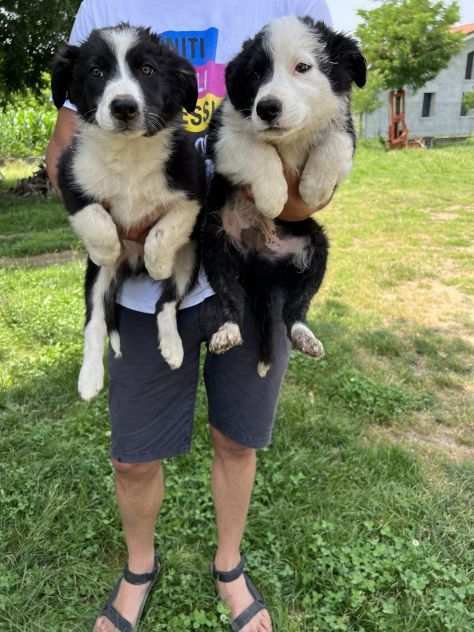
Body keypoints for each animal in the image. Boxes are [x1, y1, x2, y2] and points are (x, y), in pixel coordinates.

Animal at [53, 25, 206, 400]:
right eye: (96, 72)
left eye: (147, 70)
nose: (124, 107)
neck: (129, 151)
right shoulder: (70, 179)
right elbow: (97, 219)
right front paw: (108, 247)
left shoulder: (192, 189)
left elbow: (164, 230)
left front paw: (157, 262)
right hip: (96, 279)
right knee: (94, 322)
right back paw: (89, 378)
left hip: (190, 259)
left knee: (166, 304)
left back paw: (173, 346)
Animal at [203, 17, 366, 378]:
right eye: (255, 74)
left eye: (302, 68)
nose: (266, 108)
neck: (290, 137)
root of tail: (261, 266)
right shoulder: (222, 135)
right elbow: (256, 149)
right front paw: (273, 197)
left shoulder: (345, 127)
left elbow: (334, 144)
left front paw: (315, 187)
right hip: (216, 246)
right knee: (230, 299)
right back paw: (227, 331)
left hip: (316, 246)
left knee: (296, 308)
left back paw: (305, 335)